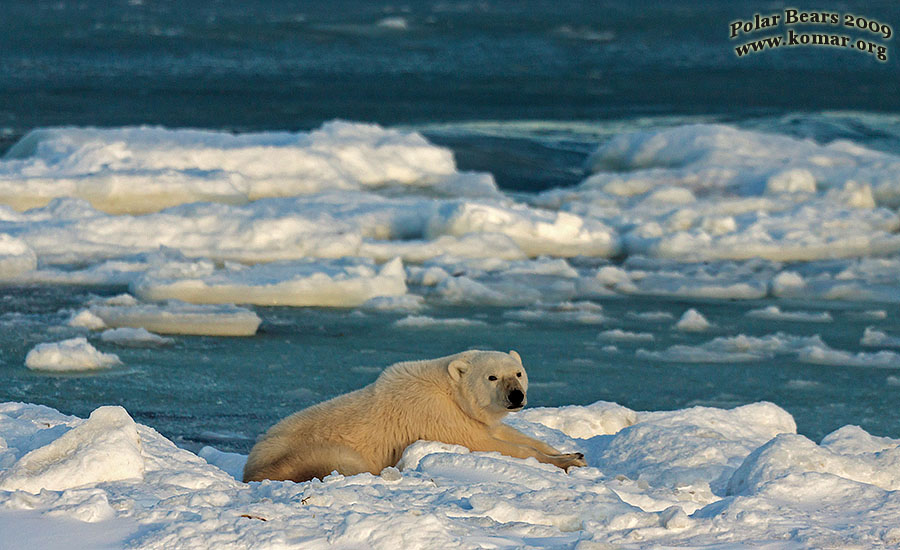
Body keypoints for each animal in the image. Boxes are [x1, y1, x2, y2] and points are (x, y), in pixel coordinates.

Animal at [243, 352, 588, 486]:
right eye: (492, 377)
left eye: (517, 373)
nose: (516, 396)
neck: (447, 387)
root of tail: (249, 466)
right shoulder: (435, 414)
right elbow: (485, 443)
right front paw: (566, 461)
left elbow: (507, 433)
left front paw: (572, 452)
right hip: (304, 452)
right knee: (343, 461)